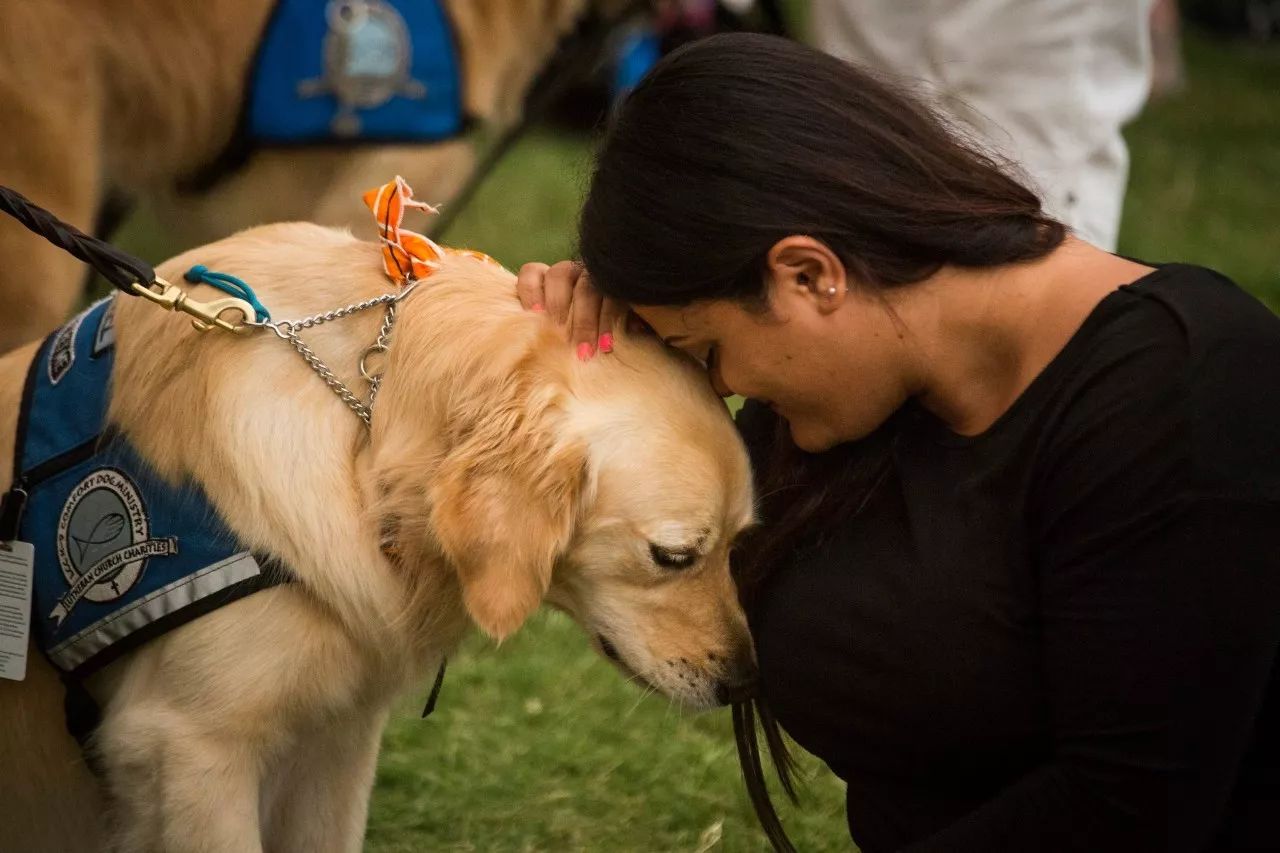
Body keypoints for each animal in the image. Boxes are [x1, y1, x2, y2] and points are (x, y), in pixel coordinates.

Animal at [0, 222, 757, 845]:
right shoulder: (188, 746)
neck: (367, 428)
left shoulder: (339, 736)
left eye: (738, 543)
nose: (743, 682)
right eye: (674, 555)